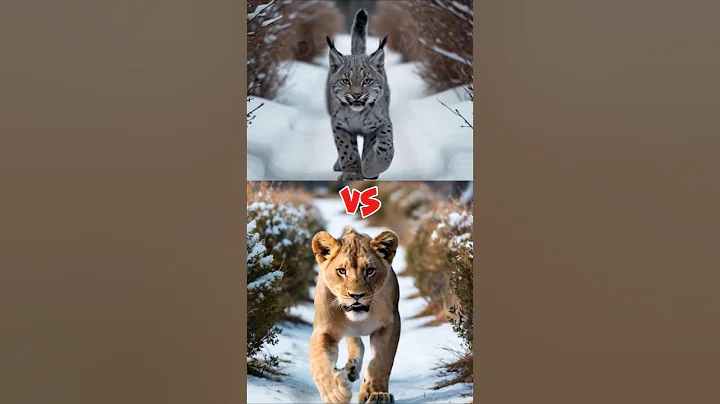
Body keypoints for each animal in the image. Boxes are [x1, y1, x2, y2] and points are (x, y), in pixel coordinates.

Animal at [310, 225, 401, 404]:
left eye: (370, 271)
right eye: (341, 271)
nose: (356, 295)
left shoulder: (390, 325)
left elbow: (381, 362)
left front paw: (377, 393)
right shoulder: (324, 330)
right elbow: (320, 362)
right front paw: (336, 394)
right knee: (354, 341)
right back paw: (350, 369)